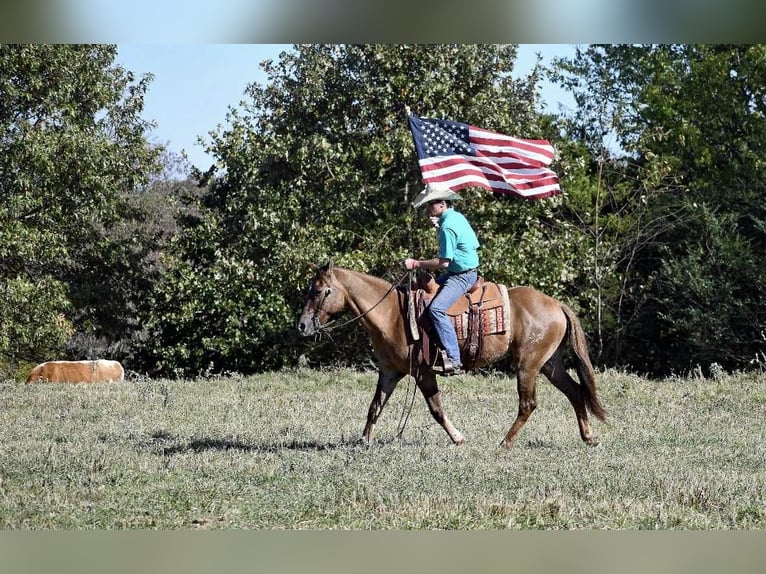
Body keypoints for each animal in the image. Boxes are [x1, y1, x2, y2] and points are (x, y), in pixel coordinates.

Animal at [297, 259, 607, 448]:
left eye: (319, 291)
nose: (302, 325)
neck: (393, 315)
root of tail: (556, 304)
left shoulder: (422, 371)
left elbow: (436, 409)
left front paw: (458, 437)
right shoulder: (390, 371)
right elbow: (375, 407)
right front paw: (364, 441)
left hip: (528, 365)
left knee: (528, 404)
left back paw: (505, 442)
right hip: (549, 364)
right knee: (575, 391)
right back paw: (588, 436)